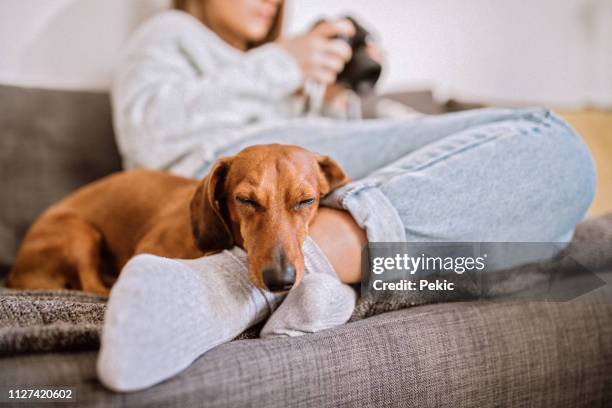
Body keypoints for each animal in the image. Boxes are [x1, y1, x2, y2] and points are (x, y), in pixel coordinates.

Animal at [7, 145, 350, 294]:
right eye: (245, 200)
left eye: (307, 201)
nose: (281, 281)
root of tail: (15, 273)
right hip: (80, 233)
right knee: (91, 286)